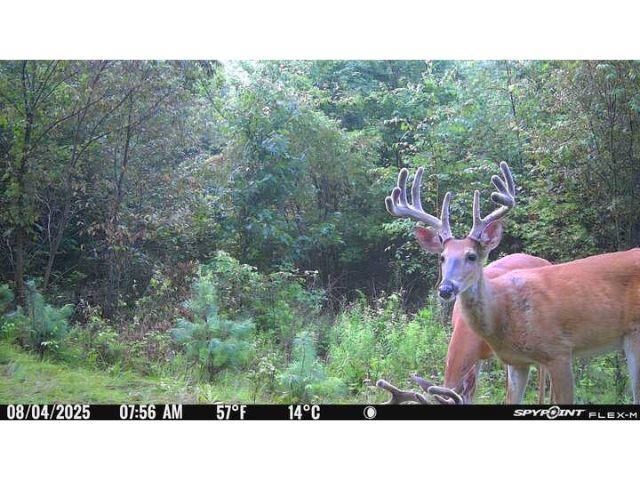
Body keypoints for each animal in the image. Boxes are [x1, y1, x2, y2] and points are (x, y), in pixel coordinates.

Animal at [378, 162, 640, 404]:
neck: (501, 311)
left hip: (631, 336)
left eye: (471, 256)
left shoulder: (559, 351)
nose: (446, 289)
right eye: (442, 257)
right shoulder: (514, 361)